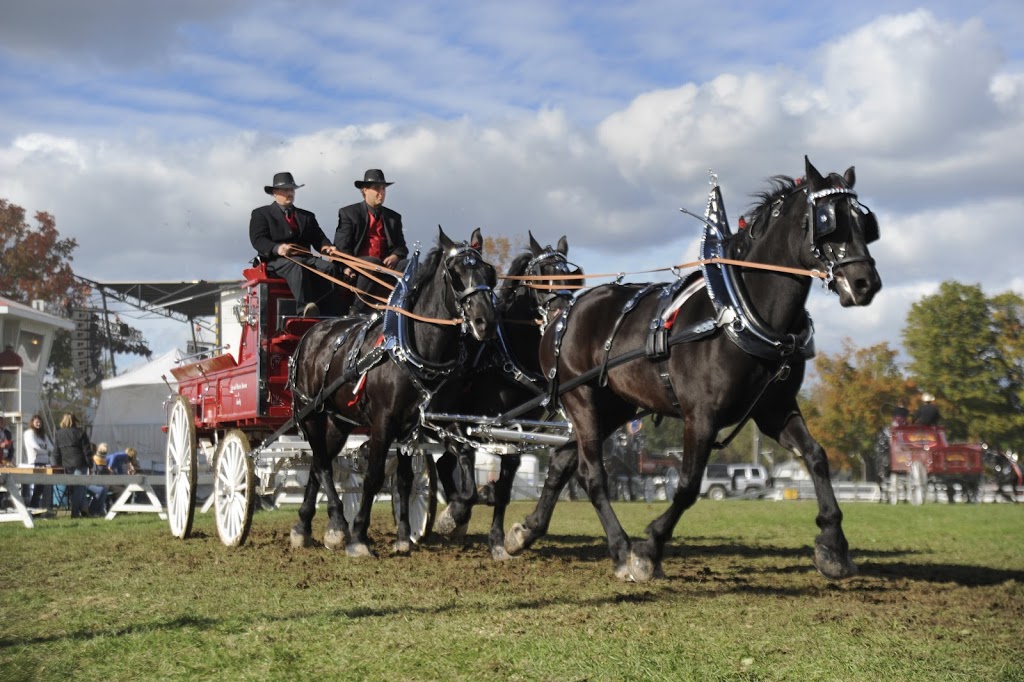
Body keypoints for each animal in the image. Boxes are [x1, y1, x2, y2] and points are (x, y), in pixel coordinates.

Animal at [290, 225, 497, 557]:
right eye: (454, 274)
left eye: (490, 274)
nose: (485, 322)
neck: (416, 349)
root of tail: (310, 332)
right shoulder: (384, 423)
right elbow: (374, 477)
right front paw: (360, 537)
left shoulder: (425, 423)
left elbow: (414, 476)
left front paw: (442, 519)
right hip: (310, 412)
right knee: (322, 463)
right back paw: (339, 524)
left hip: (337, 421)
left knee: (317, 465)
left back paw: (305, 527)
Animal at [428, 233, 581, 557]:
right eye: (539, 276)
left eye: (568, 276)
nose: (561, 313)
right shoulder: (463, 424)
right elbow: (481, 485)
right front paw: (461, 513)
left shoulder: (516, 434)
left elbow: (504, 488)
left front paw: (497, 540)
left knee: (444, 465)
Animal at [503, 157, 880, 577]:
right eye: (827, 218)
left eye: (865, 223)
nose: (865, 282)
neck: (739, 311)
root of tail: (564, 310)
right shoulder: (701, 415)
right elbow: (686, 485)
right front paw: (649, 548)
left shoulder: (774, 409)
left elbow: (816, 457)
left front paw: (833, 545)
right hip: (581, 397)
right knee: (593, 474)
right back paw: (620, 548)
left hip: (614, 406)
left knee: (562, 463)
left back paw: (526, 532)